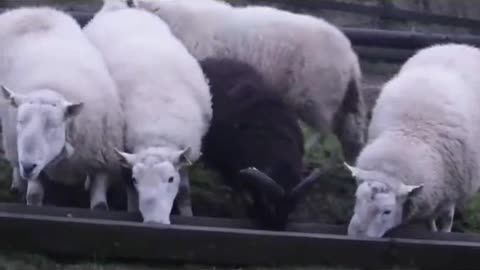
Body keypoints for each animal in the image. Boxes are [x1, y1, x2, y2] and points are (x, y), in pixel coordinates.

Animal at [0, 5, 125, 209]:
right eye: (20, 121)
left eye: (53, 125)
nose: (27, 166)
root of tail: (28, 9)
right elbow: (34, 196)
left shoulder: (103, 163)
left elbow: (100, 206)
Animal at [82, 0, 212, 224]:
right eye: (136, 179)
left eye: (170, 178)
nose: (154, 223)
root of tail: (117, 8)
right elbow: (129, 190)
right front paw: (133, 209)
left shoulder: (186, 155)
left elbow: (184, 191)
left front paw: (188, 214)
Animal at [133, 0, 366, 162]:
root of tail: (350, 57)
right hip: (335, 100)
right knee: (348, 130)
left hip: (316, 97)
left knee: (323, 131)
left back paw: (311, 152)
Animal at [344, 43, 480, 237]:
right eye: (357, 199)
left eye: (387, 211)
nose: (356, 237)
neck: (409, 136)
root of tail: (458, 45)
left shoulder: (451, 194)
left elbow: (447, 219)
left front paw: (443, 233)